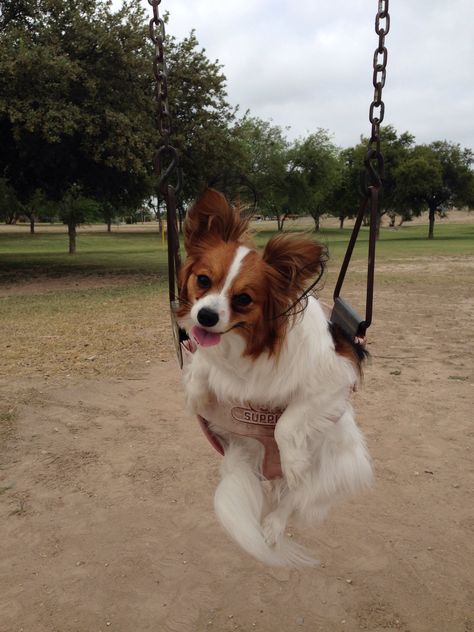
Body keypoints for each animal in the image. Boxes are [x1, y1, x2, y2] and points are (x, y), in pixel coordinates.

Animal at [176, 189, 372, 568]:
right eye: (203, 280)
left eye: (243, 299)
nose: (205, 316)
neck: (248, 348)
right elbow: (202, 365)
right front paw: (196, 394)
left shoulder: (333, 380)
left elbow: (287, 422)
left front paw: (292, 461)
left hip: (322, 468)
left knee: (292, 498)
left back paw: (272, 525)